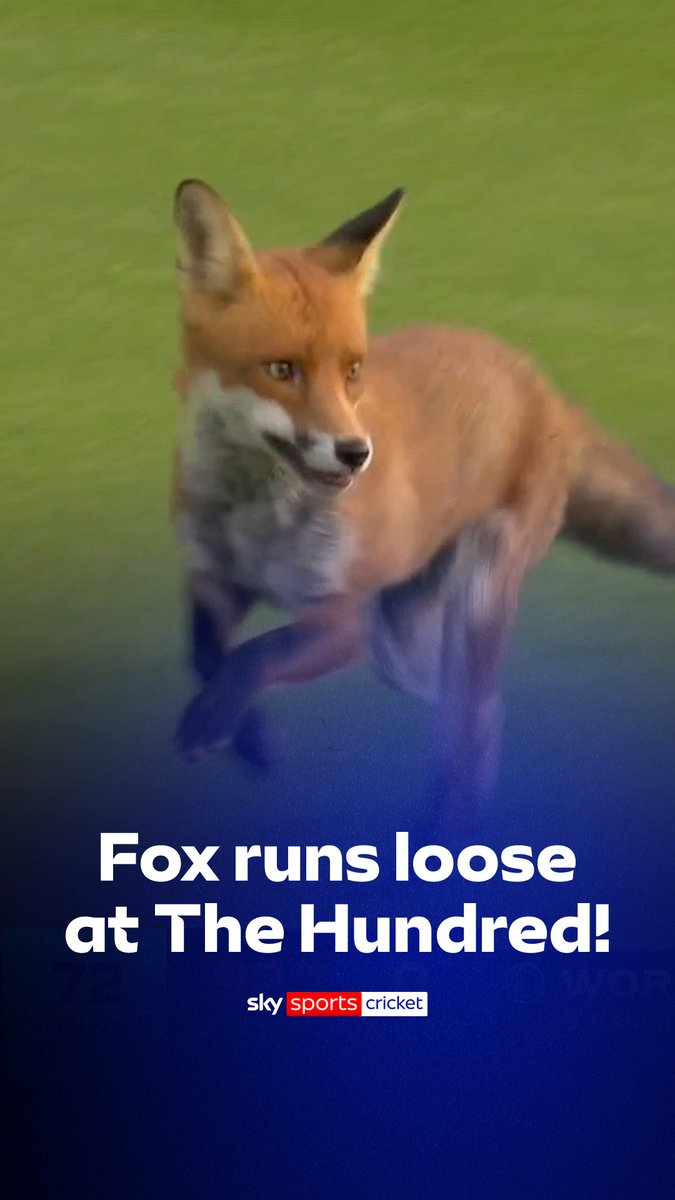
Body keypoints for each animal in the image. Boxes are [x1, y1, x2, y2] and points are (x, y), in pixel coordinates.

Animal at [171, 178, 675, 827]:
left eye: (352, 369)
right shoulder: (214, 579)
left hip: (453, 610)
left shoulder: (344, 617)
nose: (356, 453)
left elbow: (258, 653)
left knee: (476, 726)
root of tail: (544, 386)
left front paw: (233, 722)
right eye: (280, 369)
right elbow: (207, 653)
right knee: (465, 702)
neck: (257, 523)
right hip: (404, 641)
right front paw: (250, 737)